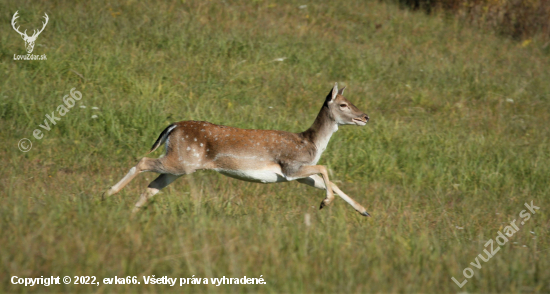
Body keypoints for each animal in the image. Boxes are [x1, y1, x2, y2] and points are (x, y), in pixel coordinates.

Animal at [105, 82, 374, 216]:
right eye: (343, 104)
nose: (366, 117)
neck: (310, 143)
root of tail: (173, 127)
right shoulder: (291, 166)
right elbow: (324, 168)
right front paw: (325, 203)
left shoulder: (297, 175)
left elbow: (329, 181)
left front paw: (364, 211)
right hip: (181, 160)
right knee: (142, 161)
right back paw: (107, 194)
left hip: (180, 164)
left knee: (153, 187)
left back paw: (130, 213)